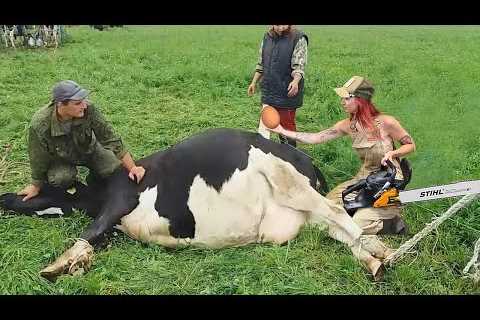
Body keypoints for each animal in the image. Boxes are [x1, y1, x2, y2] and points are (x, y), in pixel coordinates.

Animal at [0, 129, 394, 282]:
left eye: (37, 189)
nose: (4, 197)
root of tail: (304, 157)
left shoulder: (120, 199)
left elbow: (90, 230)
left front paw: (57, 265)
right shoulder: (115, 225)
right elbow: (96, 240)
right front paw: (77, 263)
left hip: (285, 179)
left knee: (338, 214)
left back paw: (380, 253)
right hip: (302, 214)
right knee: (336, 229)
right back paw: (372, 260)